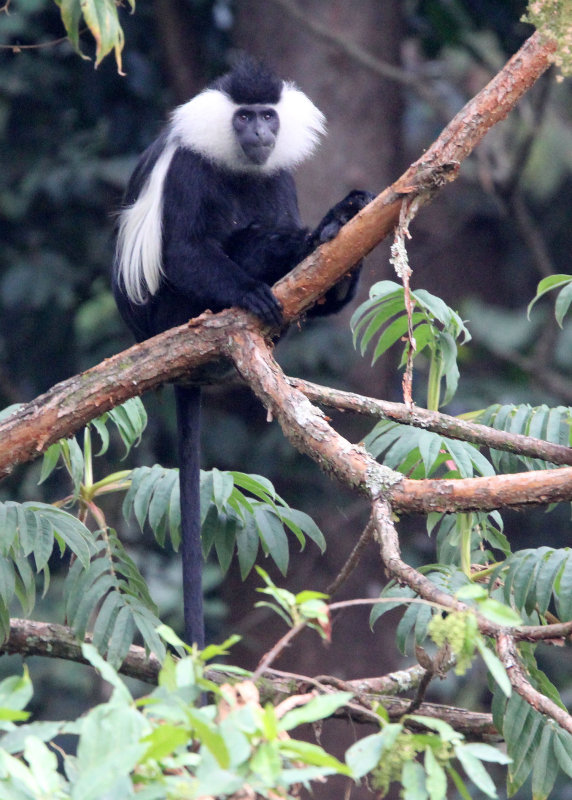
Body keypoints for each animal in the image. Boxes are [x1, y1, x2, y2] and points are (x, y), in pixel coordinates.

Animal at [113, 56, 374, 648]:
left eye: (268, 116)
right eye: (244, 116)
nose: (260, 132)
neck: (237, 166)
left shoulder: (279, 175)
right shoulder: (189, 167)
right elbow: (184, 250)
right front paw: (250, 291)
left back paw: (333, 235)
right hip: (170, 311)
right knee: (239, 244)